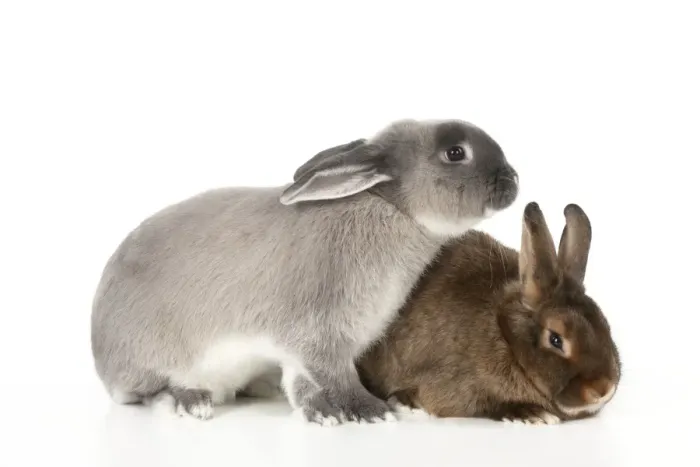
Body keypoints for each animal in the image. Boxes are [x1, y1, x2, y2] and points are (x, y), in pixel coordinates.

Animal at [90, 118, 519, 426]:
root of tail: (102, 362)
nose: (513, 180)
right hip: (156, 361)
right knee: (150, 391)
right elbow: (335, 376)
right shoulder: (320, 335)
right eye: (454, 152)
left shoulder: (304, 350)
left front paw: (323, 415)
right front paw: (371, 410)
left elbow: (302, 384)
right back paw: (192, 402)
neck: (391, 210)